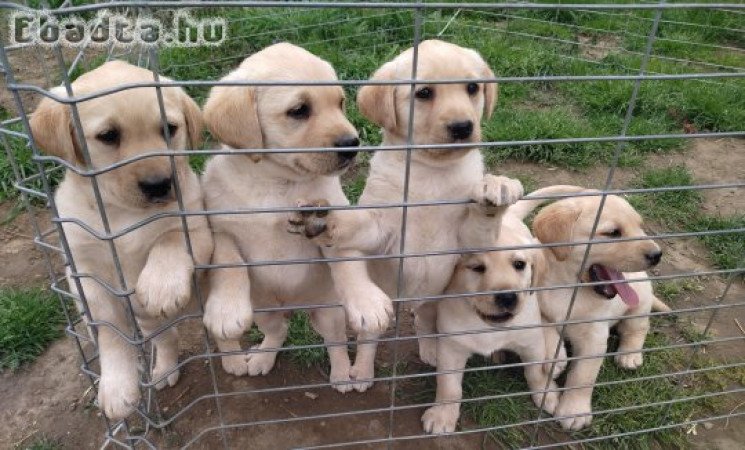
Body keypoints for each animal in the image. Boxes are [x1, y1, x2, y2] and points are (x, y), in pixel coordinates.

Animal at [29, 59, 212, 418]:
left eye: (169, 129)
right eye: (108, 136)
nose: (159, 184)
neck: (122, 213)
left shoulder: (197, 230)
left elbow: (169, 240)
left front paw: (160, 286)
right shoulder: (84, 272)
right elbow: (109, 331)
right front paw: (115, 388)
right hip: (150, 324)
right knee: (167, 340)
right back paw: (164, 370)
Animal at [202, 44, 370, 392]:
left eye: (340, 103)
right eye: (299, 110)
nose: (352, 145)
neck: (277, 182)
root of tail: (293, 306)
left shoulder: (331, 219)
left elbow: (347, 259)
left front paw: (368, 303)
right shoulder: (221, 227)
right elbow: (228, 262)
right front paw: (225, 310)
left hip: (328, 312)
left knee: (335, 342)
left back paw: (341, 374)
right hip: (264, 309)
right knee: (278, 331)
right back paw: (263, 358)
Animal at [290, 40, 524, 388]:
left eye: (472, 88)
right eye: (424, 93)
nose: (462, 127)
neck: (431, 171)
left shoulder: (467, 241)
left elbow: (480, 222)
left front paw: (496, 187)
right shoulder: (382, 225)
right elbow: (357, 224)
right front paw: (325, 219)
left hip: (434, 299)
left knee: (425, 324)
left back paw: (431, 351)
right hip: (383, 299)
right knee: (369, 337)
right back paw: (361, 371)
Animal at [512, 185, 664, 428]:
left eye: (639, 226)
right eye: (613, 233)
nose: (657, 254)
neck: (570, 286)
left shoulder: (594, 337)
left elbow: (583, 376)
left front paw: (574, 411)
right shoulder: (537, 306)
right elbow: (547, 328)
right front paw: (555, 359)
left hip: (640, 301)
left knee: (636, 328)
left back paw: (630, 354)